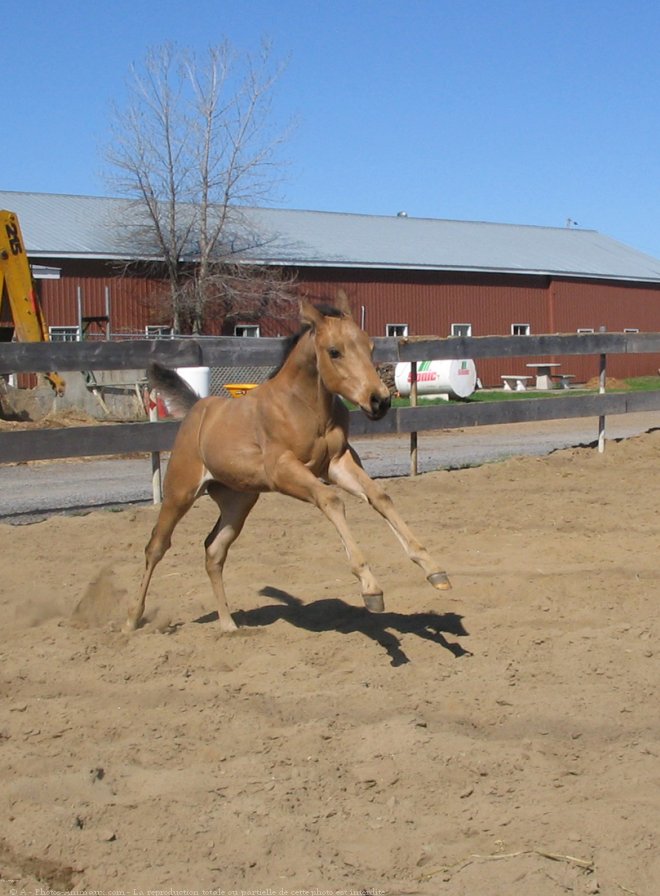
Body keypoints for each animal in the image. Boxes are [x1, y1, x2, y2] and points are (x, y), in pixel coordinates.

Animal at [127, 294, 452, 632]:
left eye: (370, 347)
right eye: (334, 351)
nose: (380, 401)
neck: (304, 406)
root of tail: (197, 410)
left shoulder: (337, 463)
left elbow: (379, 496)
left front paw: (434, 570)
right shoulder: (284, 471)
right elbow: (331, 500)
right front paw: (370, 587)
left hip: (238, 502)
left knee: (214, 551)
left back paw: (229, 625)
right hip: (180, 493)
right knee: (156, 546)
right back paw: (132, 619)